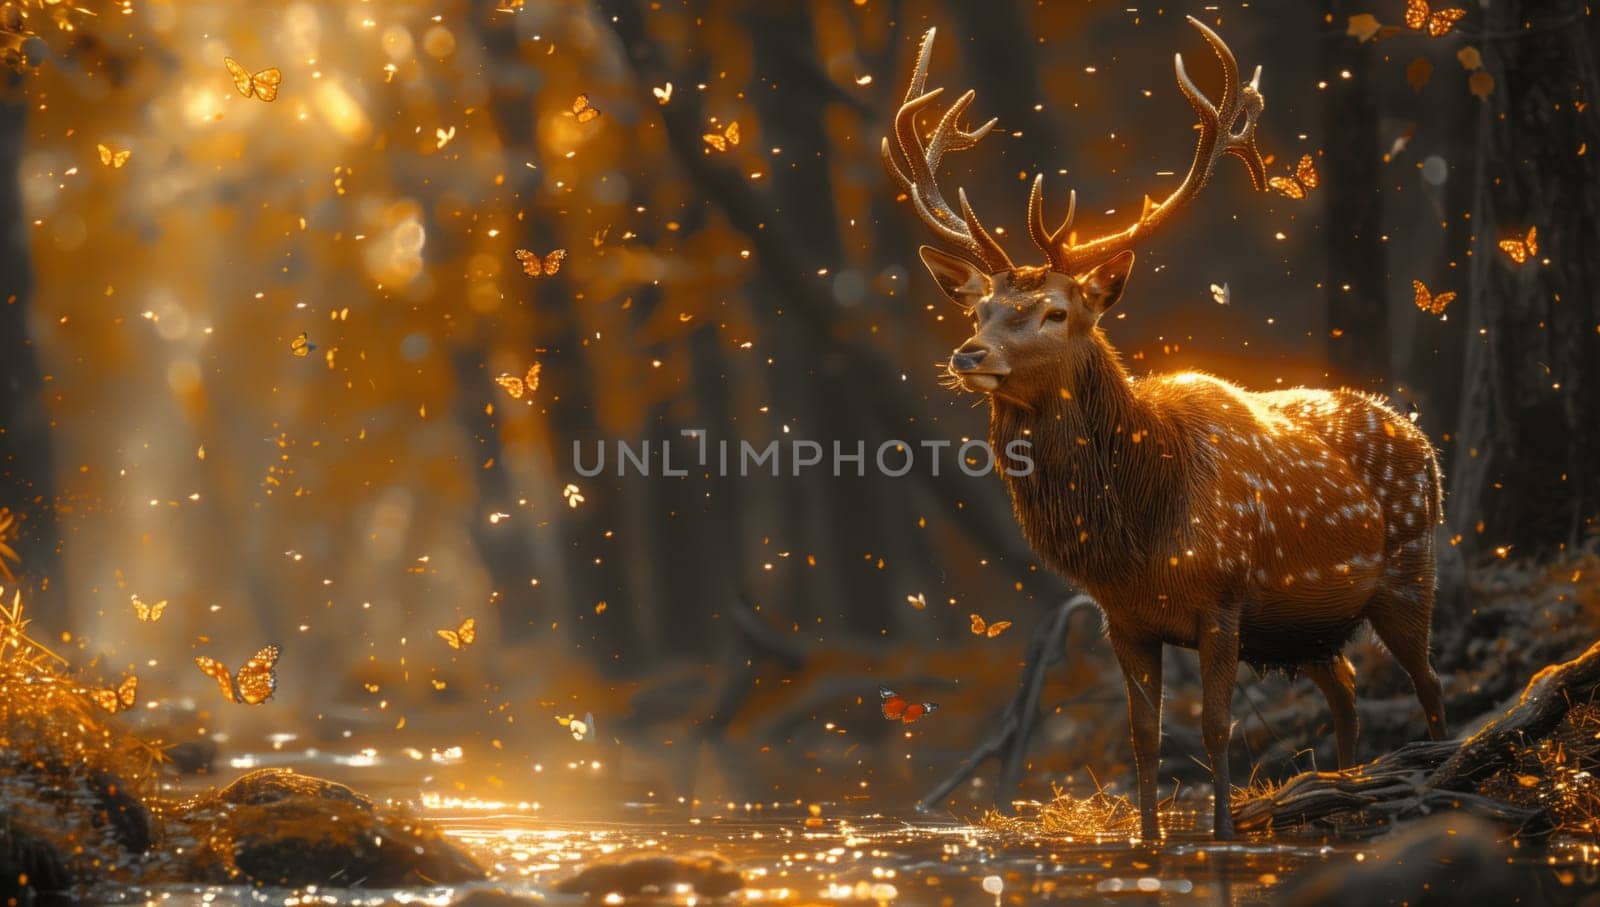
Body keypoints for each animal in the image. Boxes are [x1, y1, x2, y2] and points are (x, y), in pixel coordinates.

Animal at [889, 19, 1452, 844]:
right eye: (980, 308)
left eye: (1055, 310)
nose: (969, 354)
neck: (1140, 533)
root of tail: (1422, 439)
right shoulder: (1123, 619)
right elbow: (1143, 736)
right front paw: (1150, 837)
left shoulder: (1222, 598)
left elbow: (1216, 728)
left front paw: (1220, 832)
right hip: (1308, 623)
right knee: (1347, 686)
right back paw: (1345, 784)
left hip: (1411, 565)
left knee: (1432, 683)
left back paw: (1434, 774)